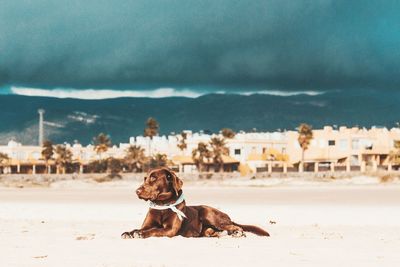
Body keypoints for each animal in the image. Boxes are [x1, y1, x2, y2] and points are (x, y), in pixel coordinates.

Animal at [120, 169, 268, 240]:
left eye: (153, 178)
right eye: (145, 178)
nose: (137, 191)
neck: (162, 205)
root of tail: (227, 216)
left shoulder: (170, 230)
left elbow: (154, 230)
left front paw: (140, 234)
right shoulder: (147, 225)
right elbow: (139, 228)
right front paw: (129, 233)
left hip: (208, 213)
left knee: (235, 227)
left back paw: (237, 233)